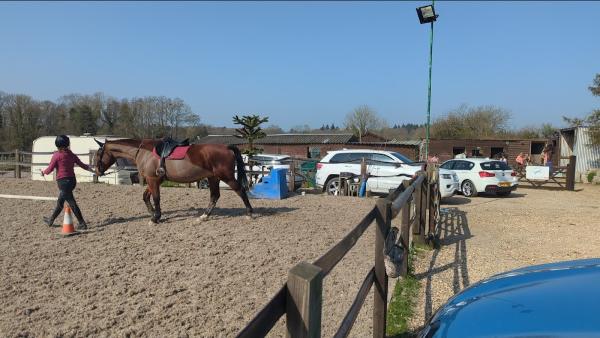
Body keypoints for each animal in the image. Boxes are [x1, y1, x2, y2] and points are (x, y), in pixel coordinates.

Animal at [94, 139, 253, 223]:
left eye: (97, 154)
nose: (97, 171)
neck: (144, 153)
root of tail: (227, 147)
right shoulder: (153, 180)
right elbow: (146, 197)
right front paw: (152, 214)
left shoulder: (152, 180)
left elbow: (156, 198)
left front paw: (156, 217)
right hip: (213, 178)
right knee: (214, 196)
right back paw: (204, 216)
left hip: (226, 177)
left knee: (240, 190)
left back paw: (249, 214)